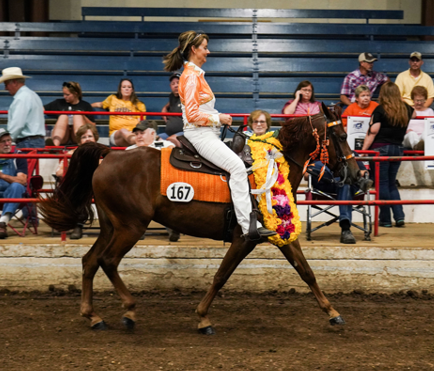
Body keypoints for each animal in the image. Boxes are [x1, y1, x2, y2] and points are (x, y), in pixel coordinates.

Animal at [39, 104, 366, 334]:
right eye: (340, 136)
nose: (358, 174)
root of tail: (110, 154)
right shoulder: (244, 239)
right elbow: (221, 276)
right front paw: (203, 318)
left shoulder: (281, 235)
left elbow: (306, 271)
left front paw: (333, 312)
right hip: (130, 227)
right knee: (107, 261)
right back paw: (129, 310)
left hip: (111, 226)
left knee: (90, 261)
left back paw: (93, 316)